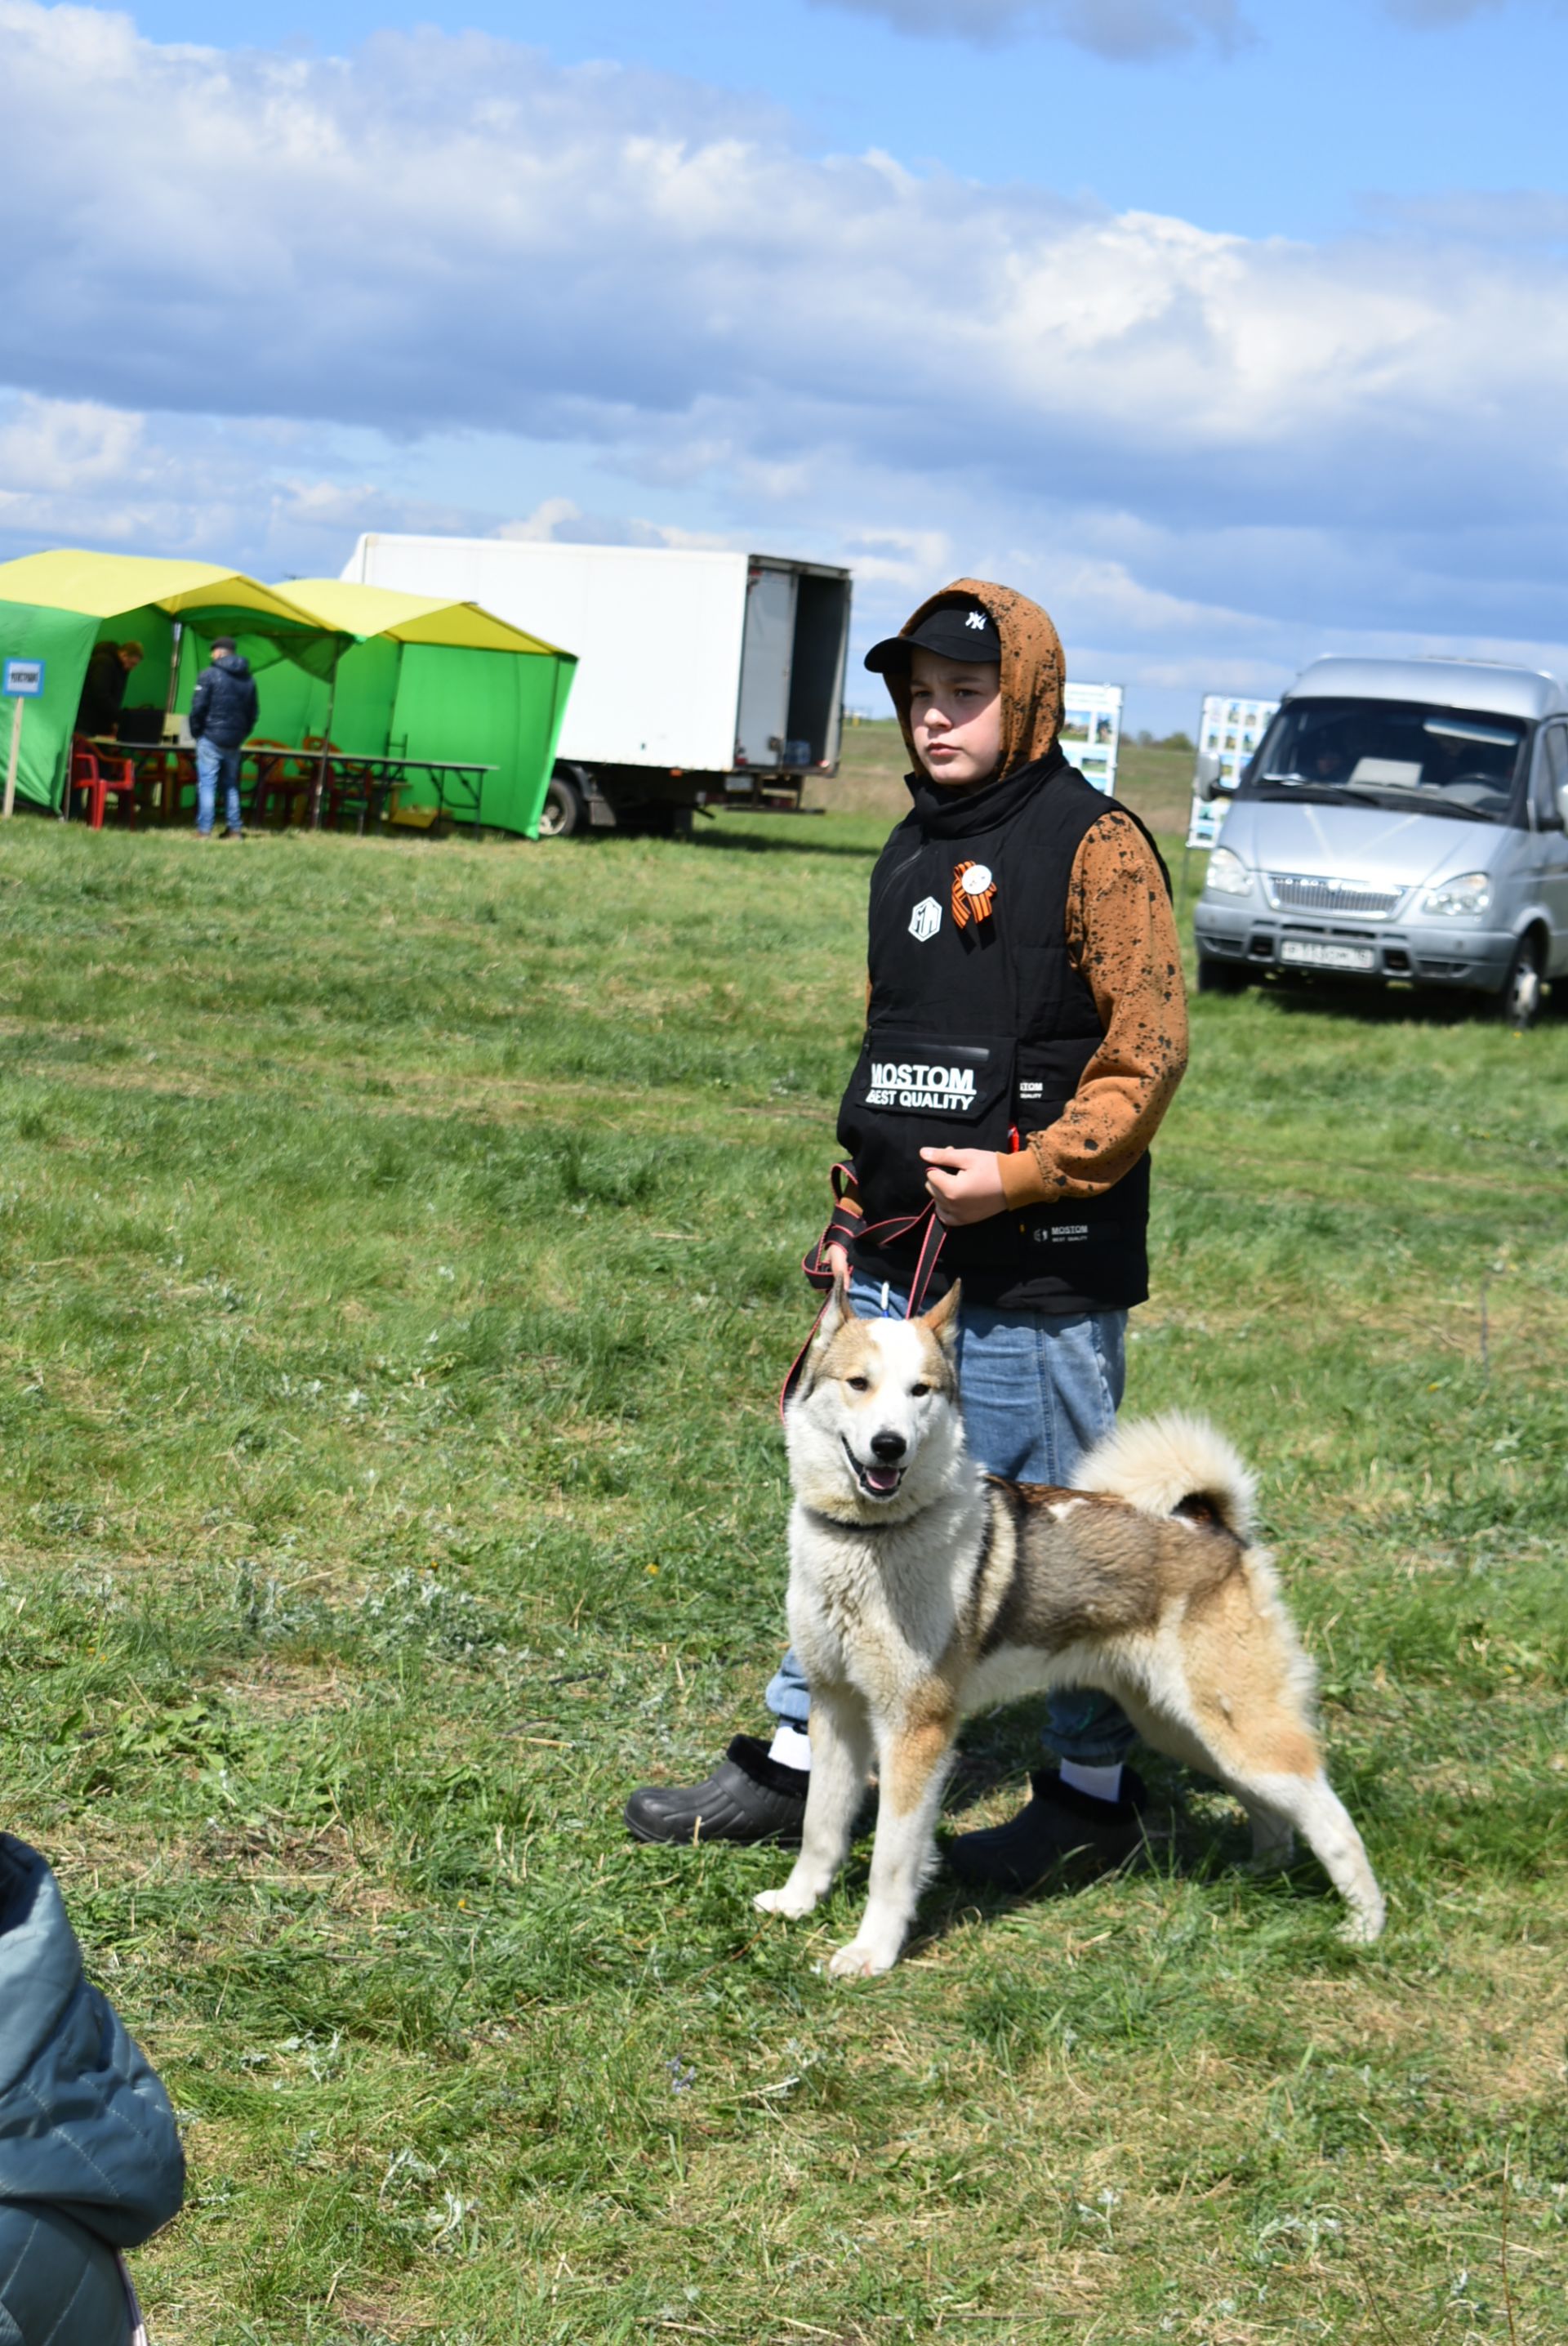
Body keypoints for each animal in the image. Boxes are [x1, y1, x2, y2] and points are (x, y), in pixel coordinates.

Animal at [759, 1285, 1378, 1979]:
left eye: (921, 1391)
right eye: (858, 1383)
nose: (890, 1445)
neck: (870, 1539)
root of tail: (1215, 1526)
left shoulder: (916, 1730)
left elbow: (892, 1863)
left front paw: (872, 1952)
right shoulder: (835, 1707)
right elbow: (820, 1826)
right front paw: (797, 1903)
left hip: (1236, 1726)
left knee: (1331, 1816)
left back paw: (1363, 1928)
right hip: (1184, 1727)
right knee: (1271, 1807)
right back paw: (1261, 1872)